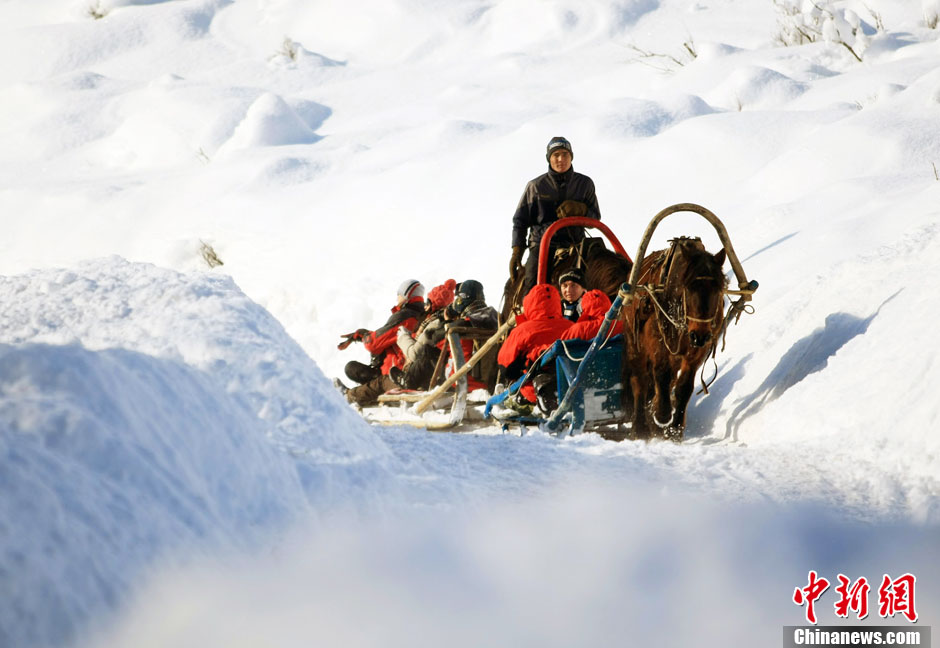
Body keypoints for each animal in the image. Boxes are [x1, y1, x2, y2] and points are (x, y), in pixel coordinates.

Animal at [624, 238, 728, 440]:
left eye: (718, 289)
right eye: (689, 287)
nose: (700, 335)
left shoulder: (696, 351)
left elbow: (684, 387)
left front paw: (675, 429)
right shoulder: (658, 342)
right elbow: (661, 375)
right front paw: (662, 415)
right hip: (634, 343)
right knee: (639, 381)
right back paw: (640, 427)